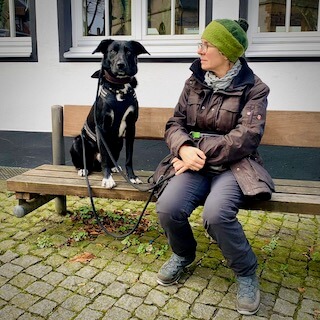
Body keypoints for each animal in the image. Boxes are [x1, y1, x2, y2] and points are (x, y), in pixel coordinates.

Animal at [69, 39, 149, 188]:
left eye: (129, 51)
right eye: (112, 51)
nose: (120, 65)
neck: (120, 87)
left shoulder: (131, 127)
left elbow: (129, 157)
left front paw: (132, 177)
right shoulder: (101, 127)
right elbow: (105, 157)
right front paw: (107, 179)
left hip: (119, 142)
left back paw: (114, 167)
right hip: (78, 141)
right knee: (84, 161)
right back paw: (83, 169)